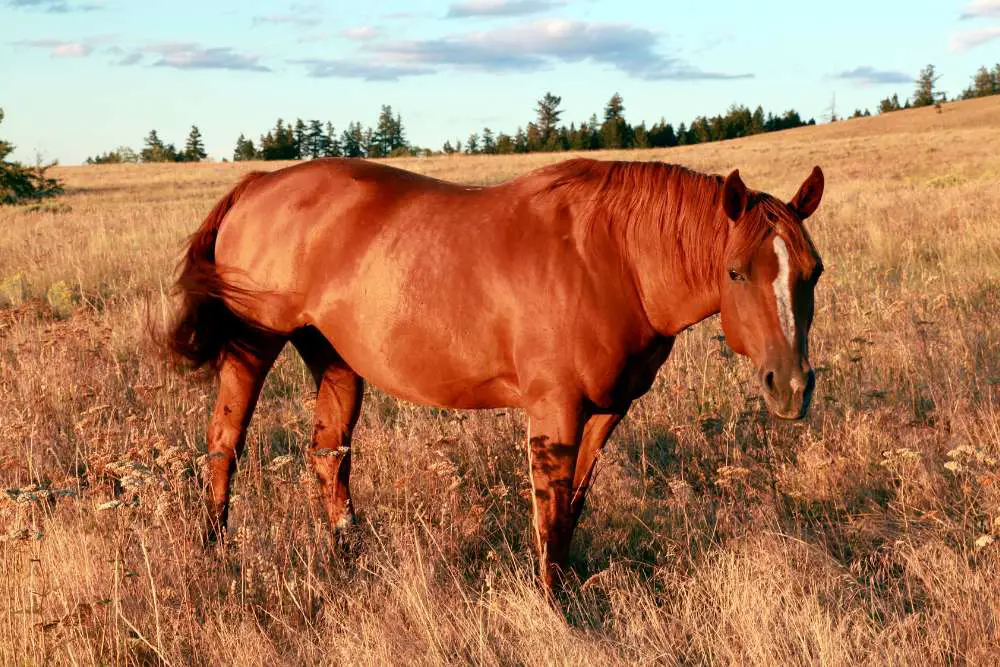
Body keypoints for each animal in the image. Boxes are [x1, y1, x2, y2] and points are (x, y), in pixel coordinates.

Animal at [168, 159, 824, 592]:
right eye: (736, 272)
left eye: (813, 271)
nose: (791, 387)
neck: (613, 257)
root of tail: (258, 184)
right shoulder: (554, 410)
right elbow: (550, 512)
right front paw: (557, 608)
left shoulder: (606, 409)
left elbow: (573, 506)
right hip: (253, 345)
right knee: (225, 444)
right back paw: (214, 550)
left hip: (334, 358)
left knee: (329, 455)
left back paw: (350, 556)